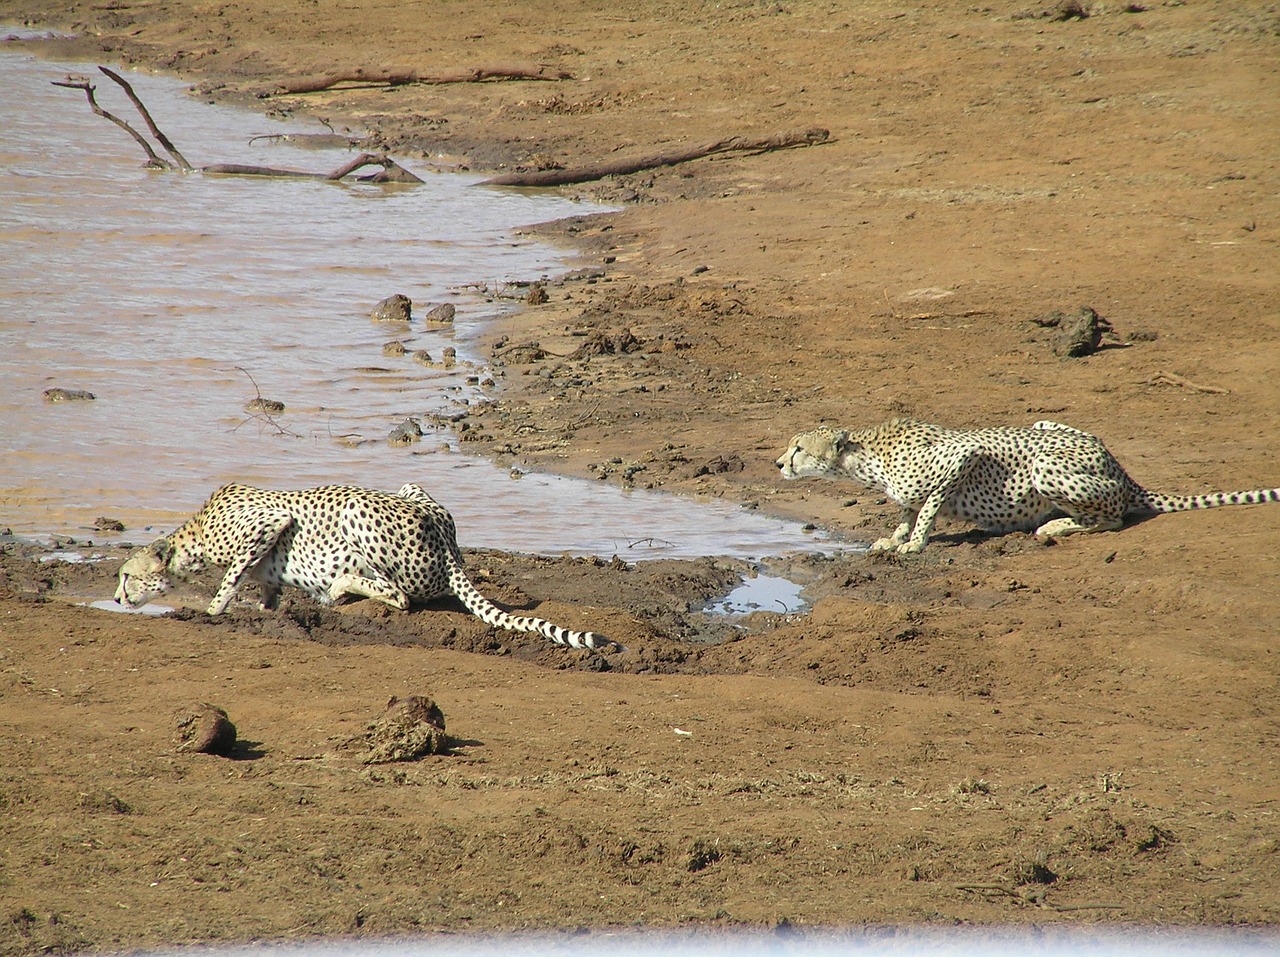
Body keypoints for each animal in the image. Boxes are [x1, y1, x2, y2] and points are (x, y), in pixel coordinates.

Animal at [112, 478, 611, 649]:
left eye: (125, 576)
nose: (116, 598)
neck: (193, 535)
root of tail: (449, 547)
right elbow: (265, 592)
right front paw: (260, 610)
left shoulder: (271, 522)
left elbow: (230, 579)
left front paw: (211, 611)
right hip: (411, 487)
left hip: (357, 509)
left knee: (400, 596)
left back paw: (338, 588)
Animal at [773, 419, 1280, 552]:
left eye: (798, 447)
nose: (778, 462)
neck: (867, 455)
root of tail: (1121, 469)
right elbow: (905, 508)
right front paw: (893, 538)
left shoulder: (962, 454)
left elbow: (929, 506)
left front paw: (914, 544)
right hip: (1045, 425)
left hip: (1043, 465)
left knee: (1114, 518)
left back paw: (1052, 527)